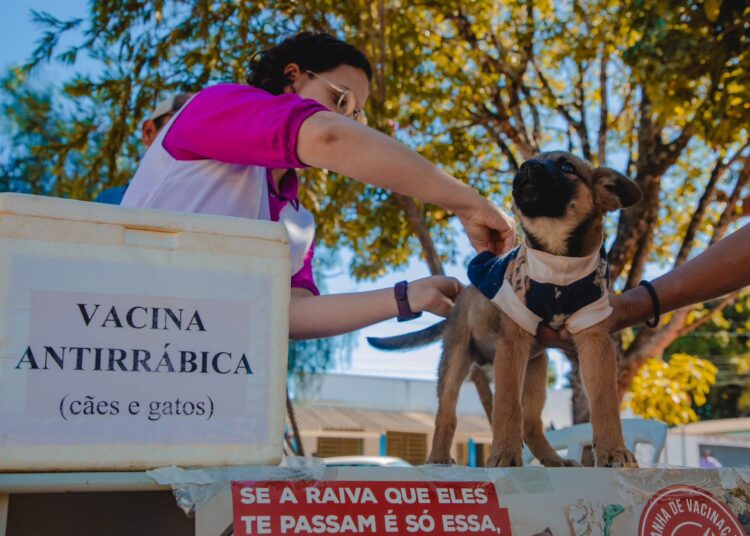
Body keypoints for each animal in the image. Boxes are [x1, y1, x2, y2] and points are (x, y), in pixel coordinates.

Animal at [370, 150, 648, 464]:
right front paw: (503, 453)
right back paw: (439, 457)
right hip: (456, 359)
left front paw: (614, 450)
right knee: (447, 413)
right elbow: (506, 406)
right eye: (532, 159)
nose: (526, 166)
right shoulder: (512, 342)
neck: (558, 262)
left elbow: (604, 401)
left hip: (537, 368)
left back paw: (554, 461)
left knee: (532, 424)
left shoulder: (593, 336)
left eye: (568, 167)